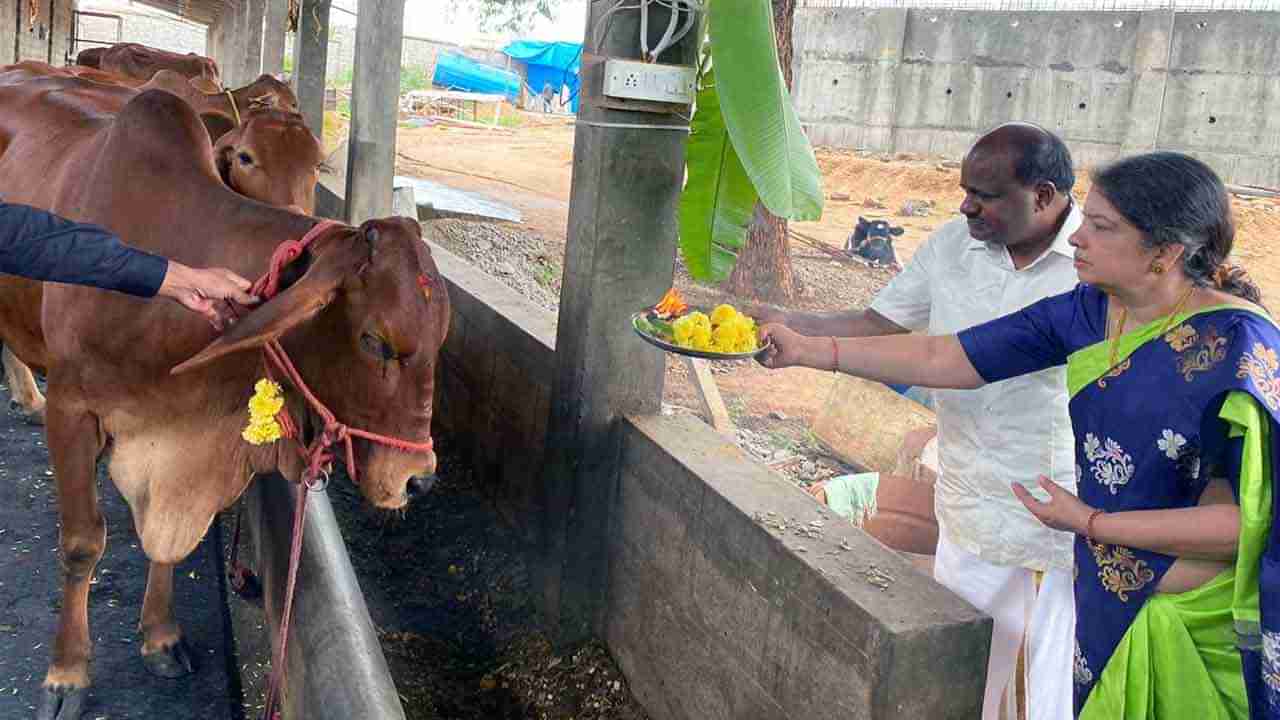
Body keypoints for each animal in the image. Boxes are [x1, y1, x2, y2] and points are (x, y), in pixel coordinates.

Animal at [0, 87, 450, 712]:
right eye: (376, 341)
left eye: (442, 339)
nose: (418, 480)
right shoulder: (72, 409)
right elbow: (82, 543)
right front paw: (66, 675)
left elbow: (168, 544)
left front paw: (161, 636)